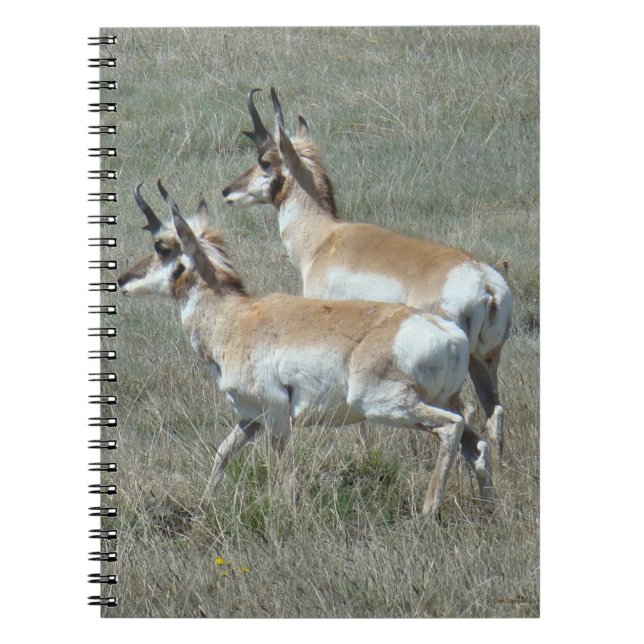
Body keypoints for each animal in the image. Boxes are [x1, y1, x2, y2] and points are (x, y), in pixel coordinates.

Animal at [117, 180, 494, 518]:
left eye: (162, 247)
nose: (122, 280)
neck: (236, 319)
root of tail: (449, 334)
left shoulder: (277, 415)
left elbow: (286, 475)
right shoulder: (250, 418)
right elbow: (222, 453)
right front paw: (206, 504)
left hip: (386, 405)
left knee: (451, 428)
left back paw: (429, 511)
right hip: (436, 401)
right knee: (476, 444)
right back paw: (488, 510)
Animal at [222, 88, 513, 462]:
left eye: (265, 161)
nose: (227, 191)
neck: (325, 238)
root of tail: (484, 281)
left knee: (466, 413)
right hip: (484, 362)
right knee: (494, 411)